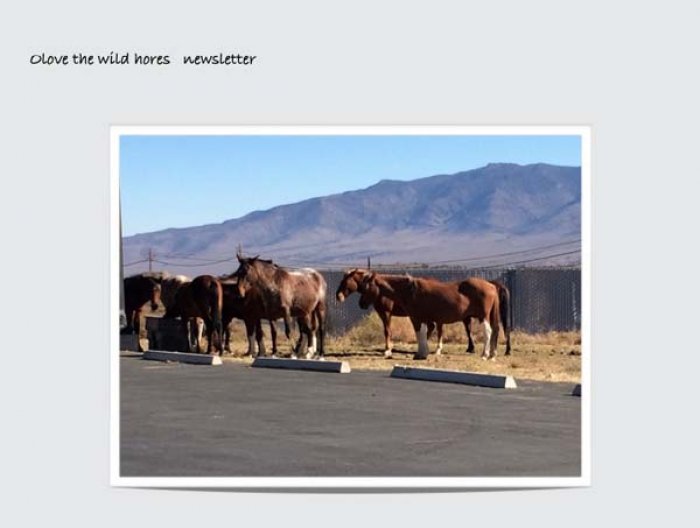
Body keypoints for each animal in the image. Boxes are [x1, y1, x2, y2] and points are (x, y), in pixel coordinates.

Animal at [359, 272, 501, 360]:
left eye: (366, 287)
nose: (361, 304)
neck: (409, 291)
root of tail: (491, 286)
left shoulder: (416, 318)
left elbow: (420, 334)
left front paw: (420, 354)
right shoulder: (422, 318)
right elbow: (423, 333)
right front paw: (423, 352)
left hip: (483, 316)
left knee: (488, 332)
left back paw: (484, 354)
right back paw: (491, 355)